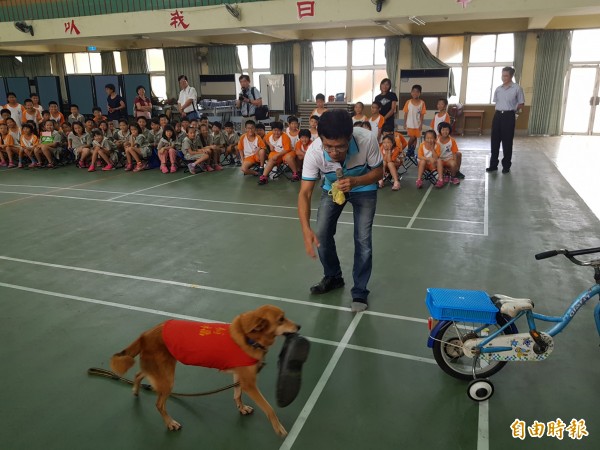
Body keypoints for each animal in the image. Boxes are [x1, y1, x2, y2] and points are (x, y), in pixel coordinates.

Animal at [109, 304, 298, 434]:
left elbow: (237, 395)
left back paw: (136, 389)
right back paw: (170, 423)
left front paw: (241, 408)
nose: (299, 327)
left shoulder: (240, 378)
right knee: (159, 404)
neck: (248, 337)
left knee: (139, 373)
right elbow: (269, 408)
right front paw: (278, 428)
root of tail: (144, 335)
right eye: (281, 319)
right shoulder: (249, 383)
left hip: (159, 372)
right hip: (167, 379)